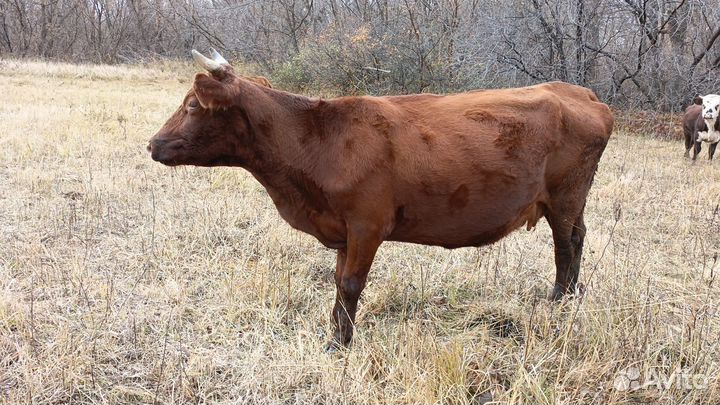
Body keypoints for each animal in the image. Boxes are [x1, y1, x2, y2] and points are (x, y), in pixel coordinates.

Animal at [147, 49, 614, 350]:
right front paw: (333, 334)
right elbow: (338, 282)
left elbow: (352, 284)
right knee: (577, 240)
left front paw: (339, 345)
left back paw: (559, 301)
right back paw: (569, 298)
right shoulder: (342, 230)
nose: (153, 144)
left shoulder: (367, 225)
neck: (319, 143)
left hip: (565, 197)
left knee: (566, 244)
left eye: (192, 105)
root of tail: (580, 93)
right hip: (572, 199)